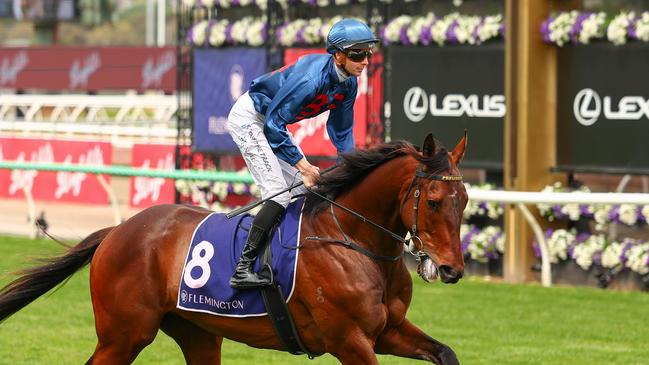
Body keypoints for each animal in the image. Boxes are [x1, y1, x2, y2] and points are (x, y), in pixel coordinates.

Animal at [0, 133, 466, 364]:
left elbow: (446, 353)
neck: (355, 240)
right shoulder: (349, 340)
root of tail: (118, 230)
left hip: (197, 333)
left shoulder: (387, 331)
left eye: (464, 201)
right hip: (124, 334)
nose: (452, 270)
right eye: (434, 201)